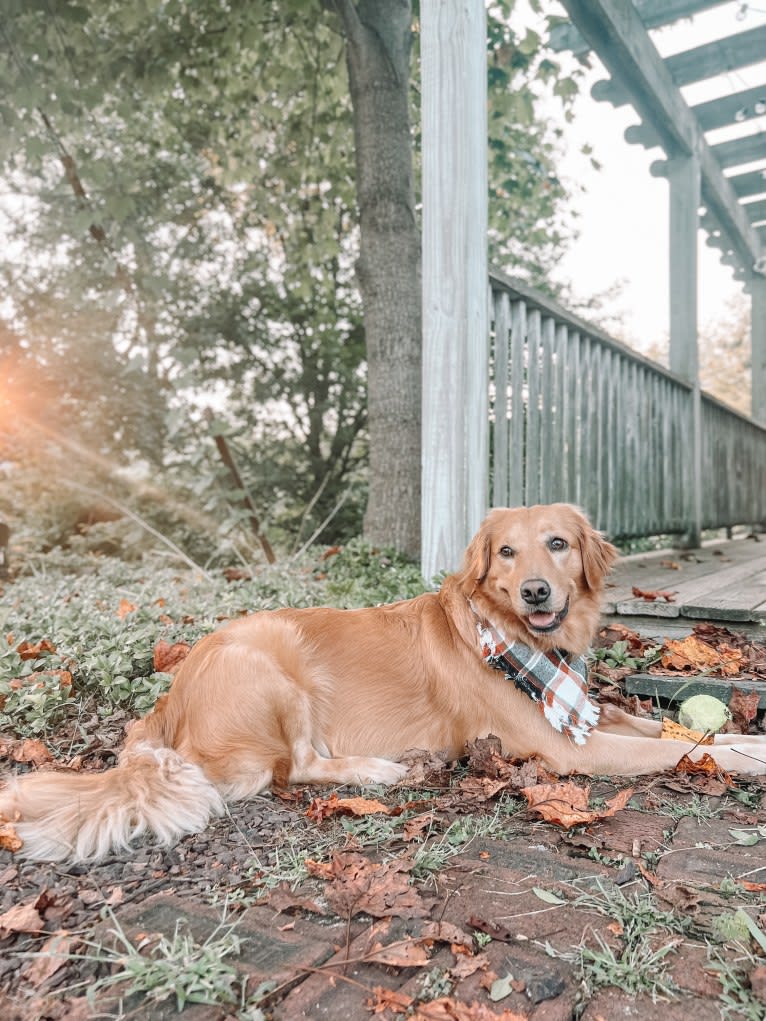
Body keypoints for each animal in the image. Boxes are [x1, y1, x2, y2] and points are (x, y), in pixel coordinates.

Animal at [1, 502, 766, 861]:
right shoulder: (562, 746)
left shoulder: (588, 714)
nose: (536, 592)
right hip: (274, 660)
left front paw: (734, 735)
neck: (524, 644)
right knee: (297, 768)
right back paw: (384, 771)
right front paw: (747, 755)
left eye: (557, 543)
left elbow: (662, 727)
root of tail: (167, 699)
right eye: (506, 552)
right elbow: (669, 747)